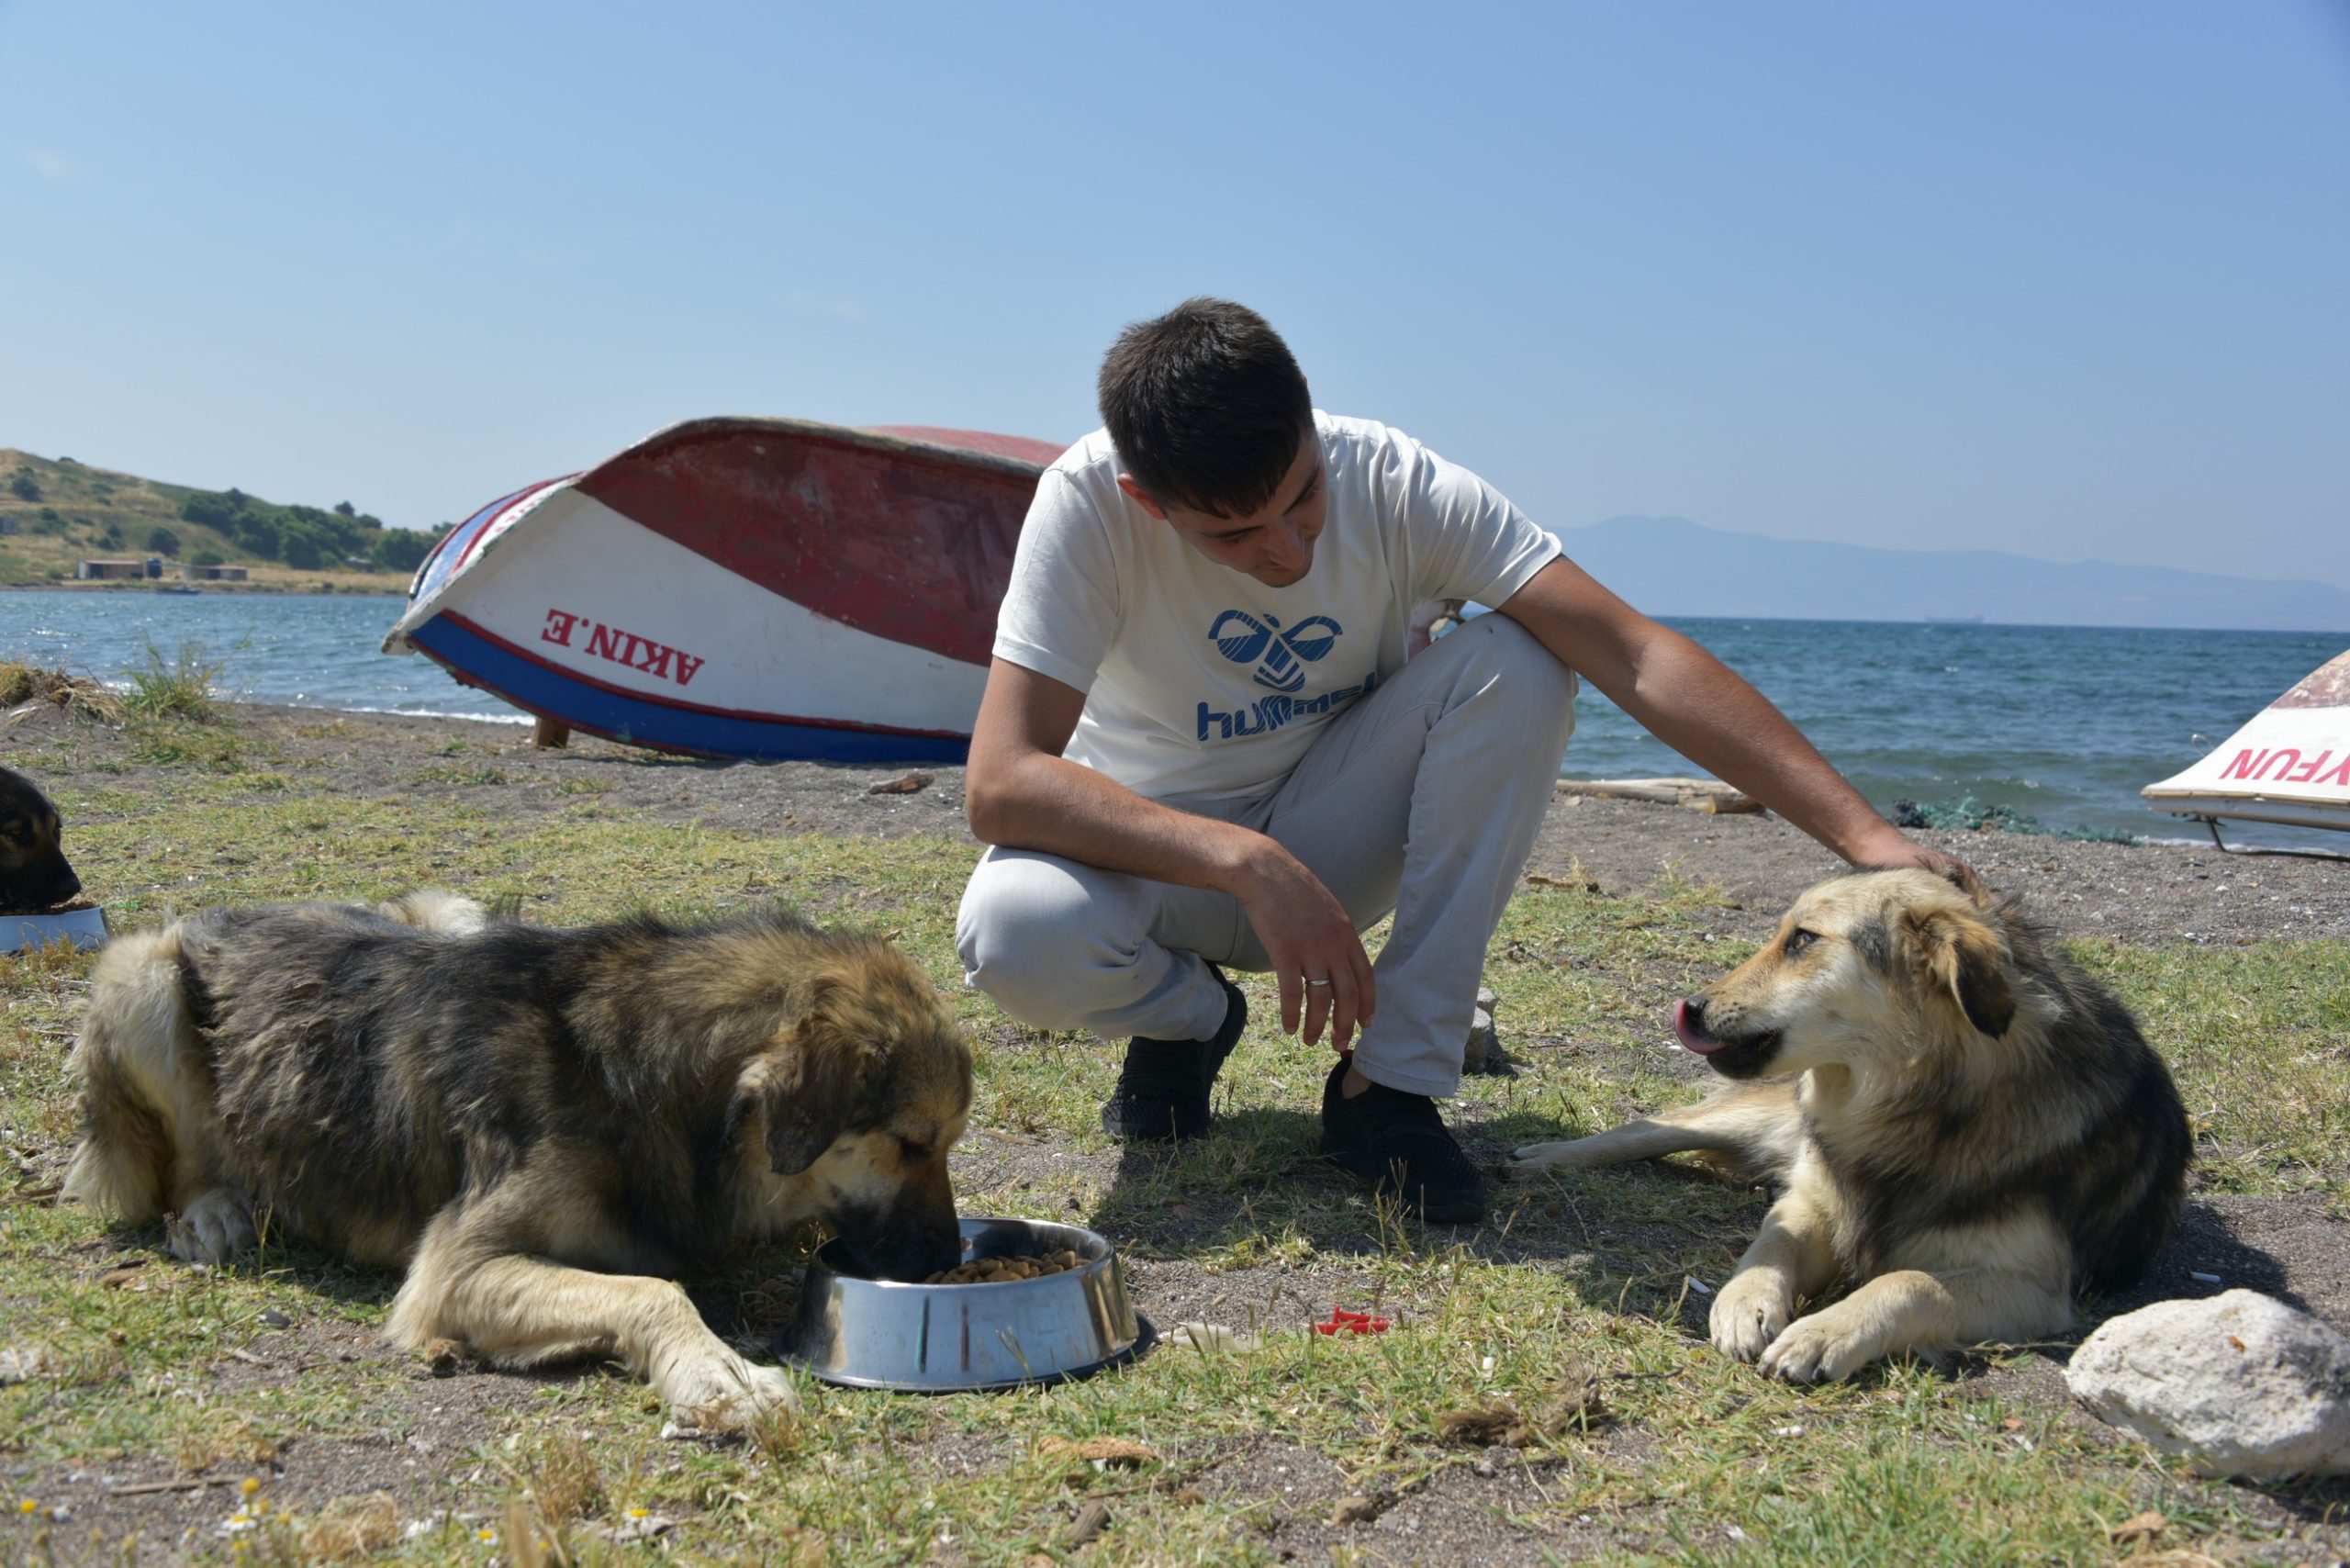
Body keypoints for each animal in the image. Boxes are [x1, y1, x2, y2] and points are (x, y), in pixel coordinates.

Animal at [64, 888, 968, 1428]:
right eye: (913, 1143)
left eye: (942, 1146)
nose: (950, 1259)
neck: (640, 1071)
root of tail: (227, 915)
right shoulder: (452, 1273)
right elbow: (655, 1289)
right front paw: (721, 1371)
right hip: (138, 974)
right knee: (181, 1166)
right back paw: (213, 1213)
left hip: (453, 911)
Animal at [1513, 869, 2189, 1382]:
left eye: (1802, 940)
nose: (1693, 1008)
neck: (1921, 1106)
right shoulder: (1816, 1195)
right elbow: (1774, 1238)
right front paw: (1744, 1300)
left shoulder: (2036, 1289)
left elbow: (1910, 1280)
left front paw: (1823, 1332)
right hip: (1766, 1118)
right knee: (1658, 1126)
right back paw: (1546, 1155)